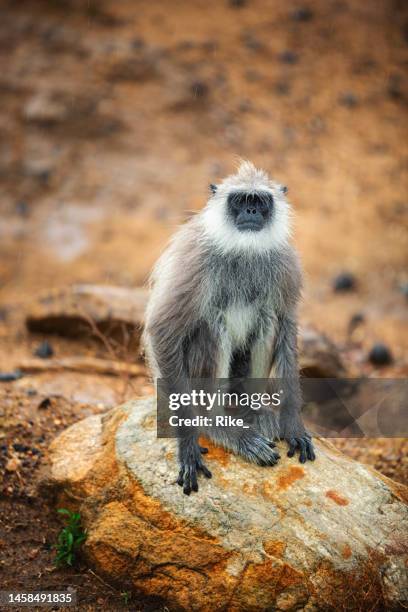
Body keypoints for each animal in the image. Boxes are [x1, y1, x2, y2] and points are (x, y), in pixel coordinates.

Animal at [143, 160, 316, 494]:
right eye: (240, 200)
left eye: (260, 201)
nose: (250, 212)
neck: (244, 250)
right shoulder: (196, 258)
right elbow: (163, 329)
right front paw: (188, 445)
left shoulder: (286, 263)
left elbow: (286, 321)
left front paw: (292, 423)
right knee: (214, 324)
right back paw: (217, 424)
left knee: (268, 318)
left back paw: (252, 410)